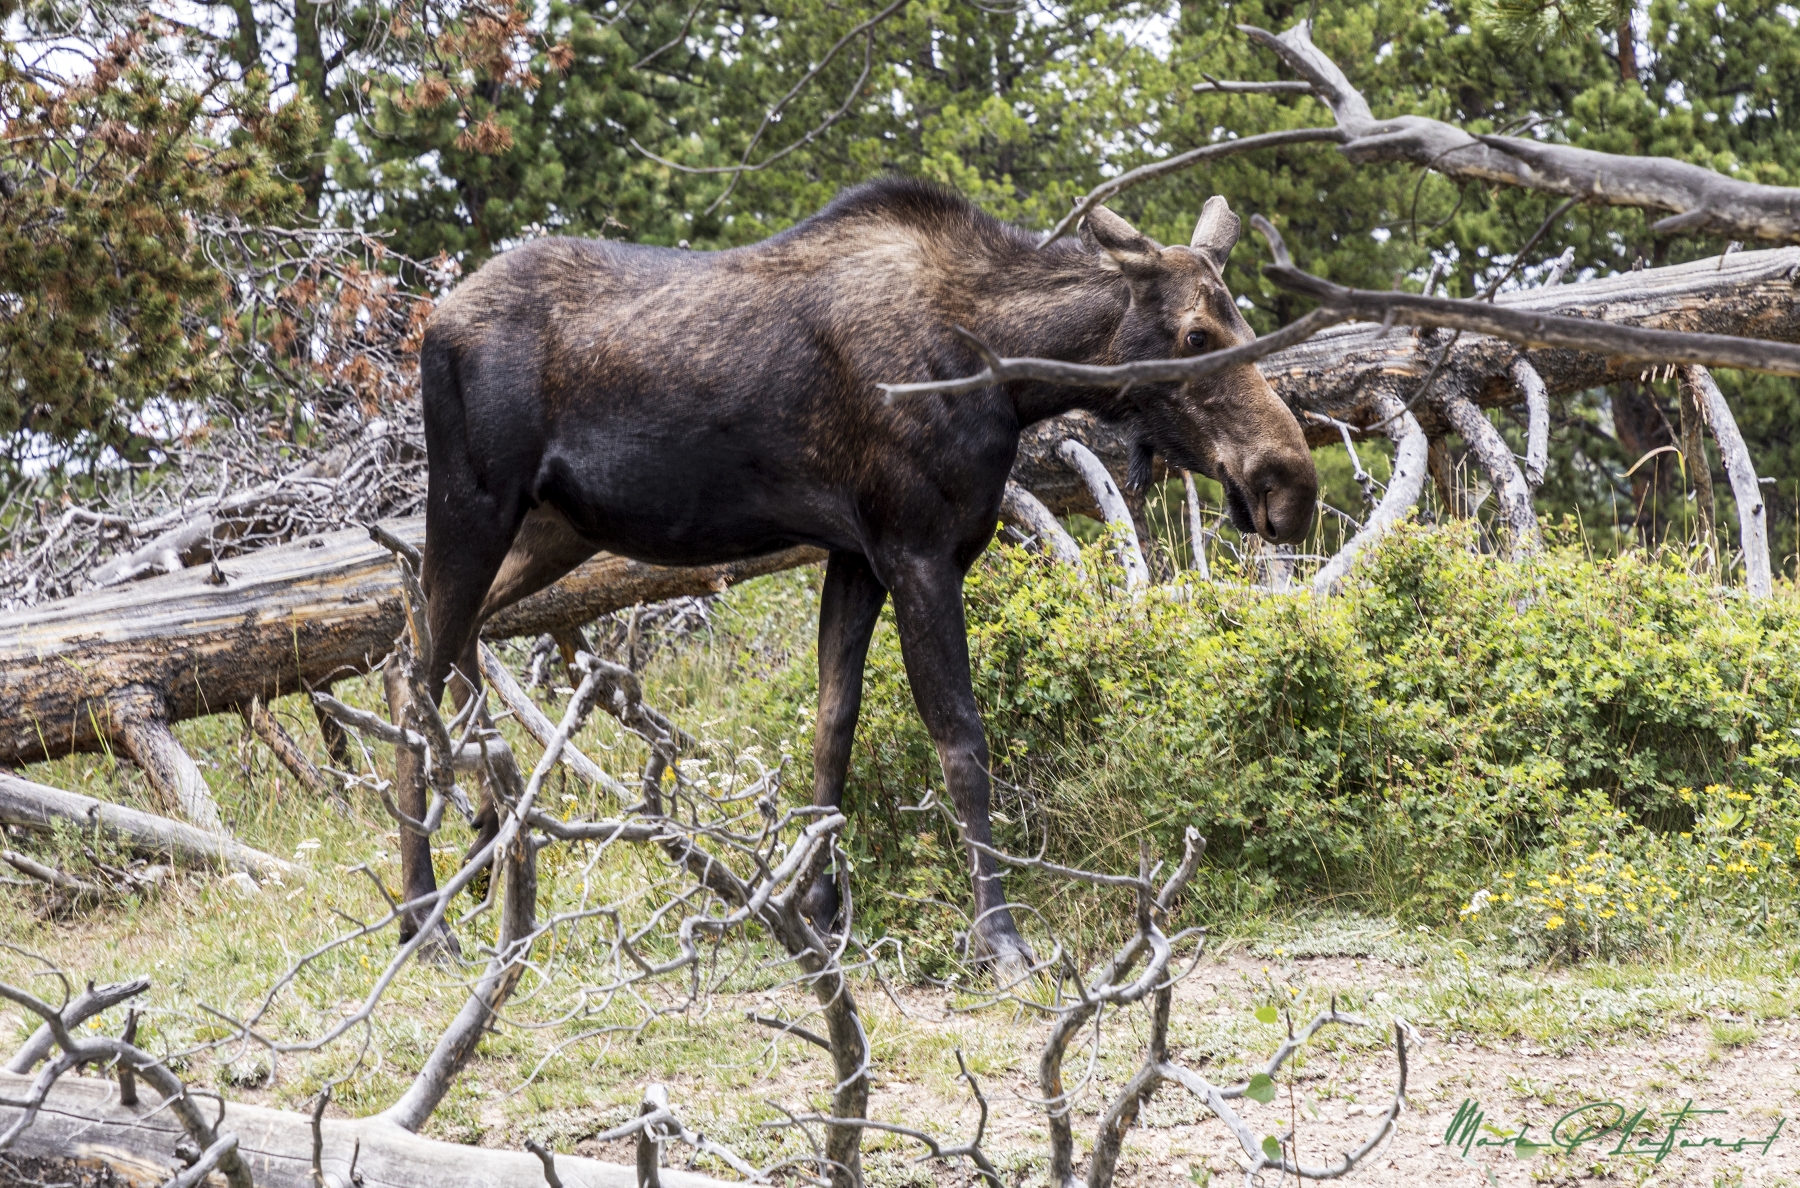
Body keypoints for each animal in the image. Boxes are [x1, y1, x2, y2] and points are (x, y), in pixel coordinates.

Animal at [408, 178, 1317, 976]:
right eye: (1196, 334)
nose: (1291, 485)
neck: (1013, 379)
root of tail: (433, 322)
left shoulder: (855, 555)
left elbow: (830, 729)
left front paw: (817, 910)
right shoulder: (917, 551)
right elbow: (961, 741)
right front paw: (1000, 939)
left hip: (552, 528)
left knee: (435, 644)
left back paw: (490, 835)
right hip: (471, 502)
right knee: (415, 676)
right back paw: (426, 912)